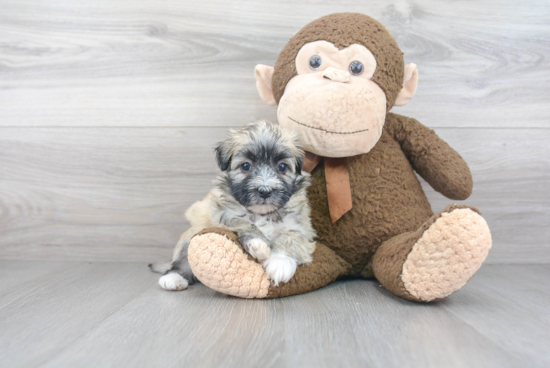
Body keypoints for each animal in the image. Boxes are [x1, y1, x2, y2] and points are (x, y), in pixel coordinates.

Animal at [149, 121, 316, 290]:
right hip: (192, 235)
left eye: (282, 167)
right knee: (183, 260)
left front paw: (280, 262)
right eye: (246, 166)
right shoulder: (225, 215)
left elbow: (290, 238)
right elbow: (245, 224)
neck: (262, 214)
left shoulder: (299, 225)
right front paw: (258, 244)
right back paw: (173, 278)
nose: (264, 191)